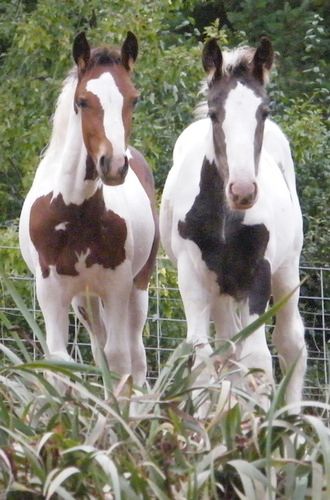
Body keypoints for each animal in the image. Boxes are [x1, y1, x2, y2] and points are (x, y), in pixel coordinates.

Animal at [19, 30, 159, 386]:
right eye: (83, 101)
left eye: (133, 99)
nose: (113, 164)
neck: (75, 209)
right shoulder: (51, 290)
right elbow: (60, 362)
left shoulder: (117, 286)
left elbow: (120, 360)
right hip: (85, 300)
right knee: (99, 351)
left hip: (136, 289)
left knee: (135, 358)